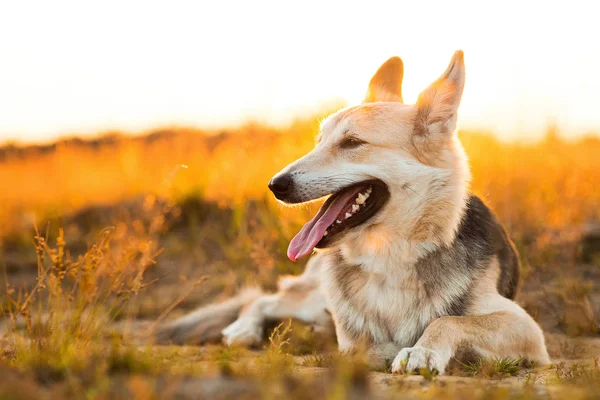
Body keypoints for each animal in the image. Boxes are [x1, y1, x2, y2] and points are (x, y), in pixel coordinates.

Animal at [157, 50, 552, 376]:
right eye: (318, 142)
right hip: (314, 297)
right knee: (265, 299)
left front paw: (421, 350)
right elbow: (361, 347)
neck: (389, 257)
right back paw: (244, 328)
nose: (275, 185)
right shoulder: (350, 338)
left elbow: (448, 322)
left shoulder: (526, 328)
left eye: (352, 143)